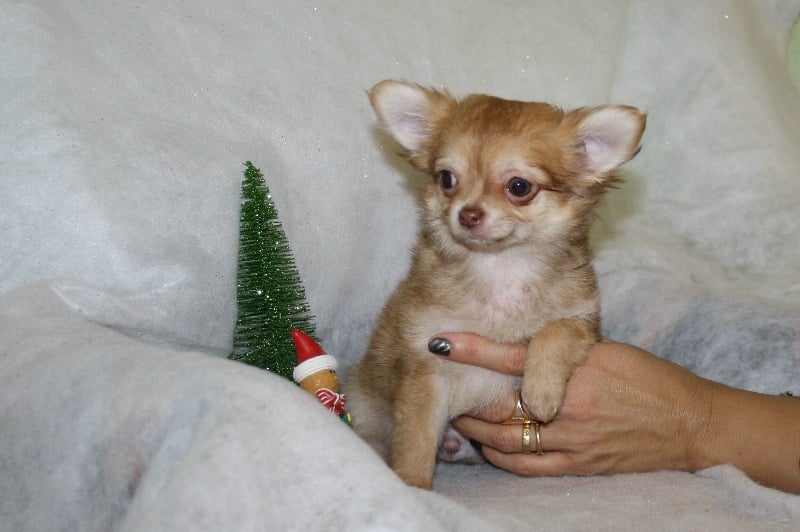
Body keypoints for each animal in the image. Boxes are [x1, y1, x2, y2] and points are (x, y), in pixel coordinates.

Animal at [344, 80, 646, 489]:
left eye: (519, 187)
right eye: (447, 179)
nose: (467, 213)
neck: (500, 268)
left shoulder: (584, 319)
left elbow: (557, 329)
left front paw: (541, 391)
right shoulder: (424, 368)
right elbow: (415, 441)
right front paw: (413, 486)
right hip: (364, 401)